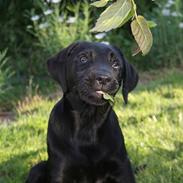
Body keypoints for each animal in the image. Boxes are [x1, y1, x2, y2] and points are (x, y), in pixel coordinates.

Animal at [26, 41, 139, 183]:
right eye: (83, 59)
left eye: (116, 64)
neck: (88, 121)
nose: (103, 78)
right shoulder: (60, 170)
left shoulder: (122, 166)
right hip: (37, 169)